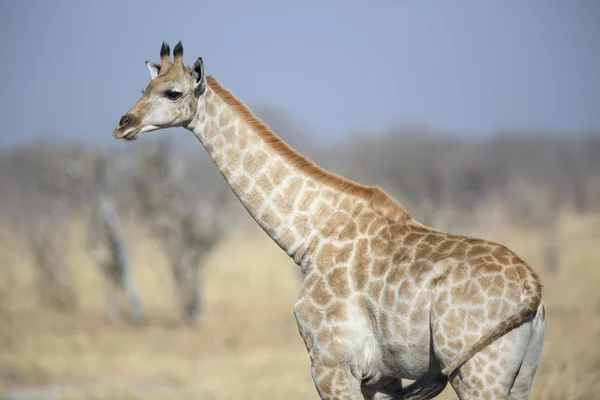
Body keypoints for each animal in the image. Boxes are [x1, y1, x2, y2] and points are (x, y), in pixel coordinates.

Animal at [110, 42, 548, 398]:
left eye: (173, 92)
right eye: (143, 89)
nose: (123, 125)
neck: (308, 237)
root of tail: (533, 289)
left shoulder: (331, 365)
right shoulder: (382, 378)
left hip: (478, 374)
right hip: (519, 377)